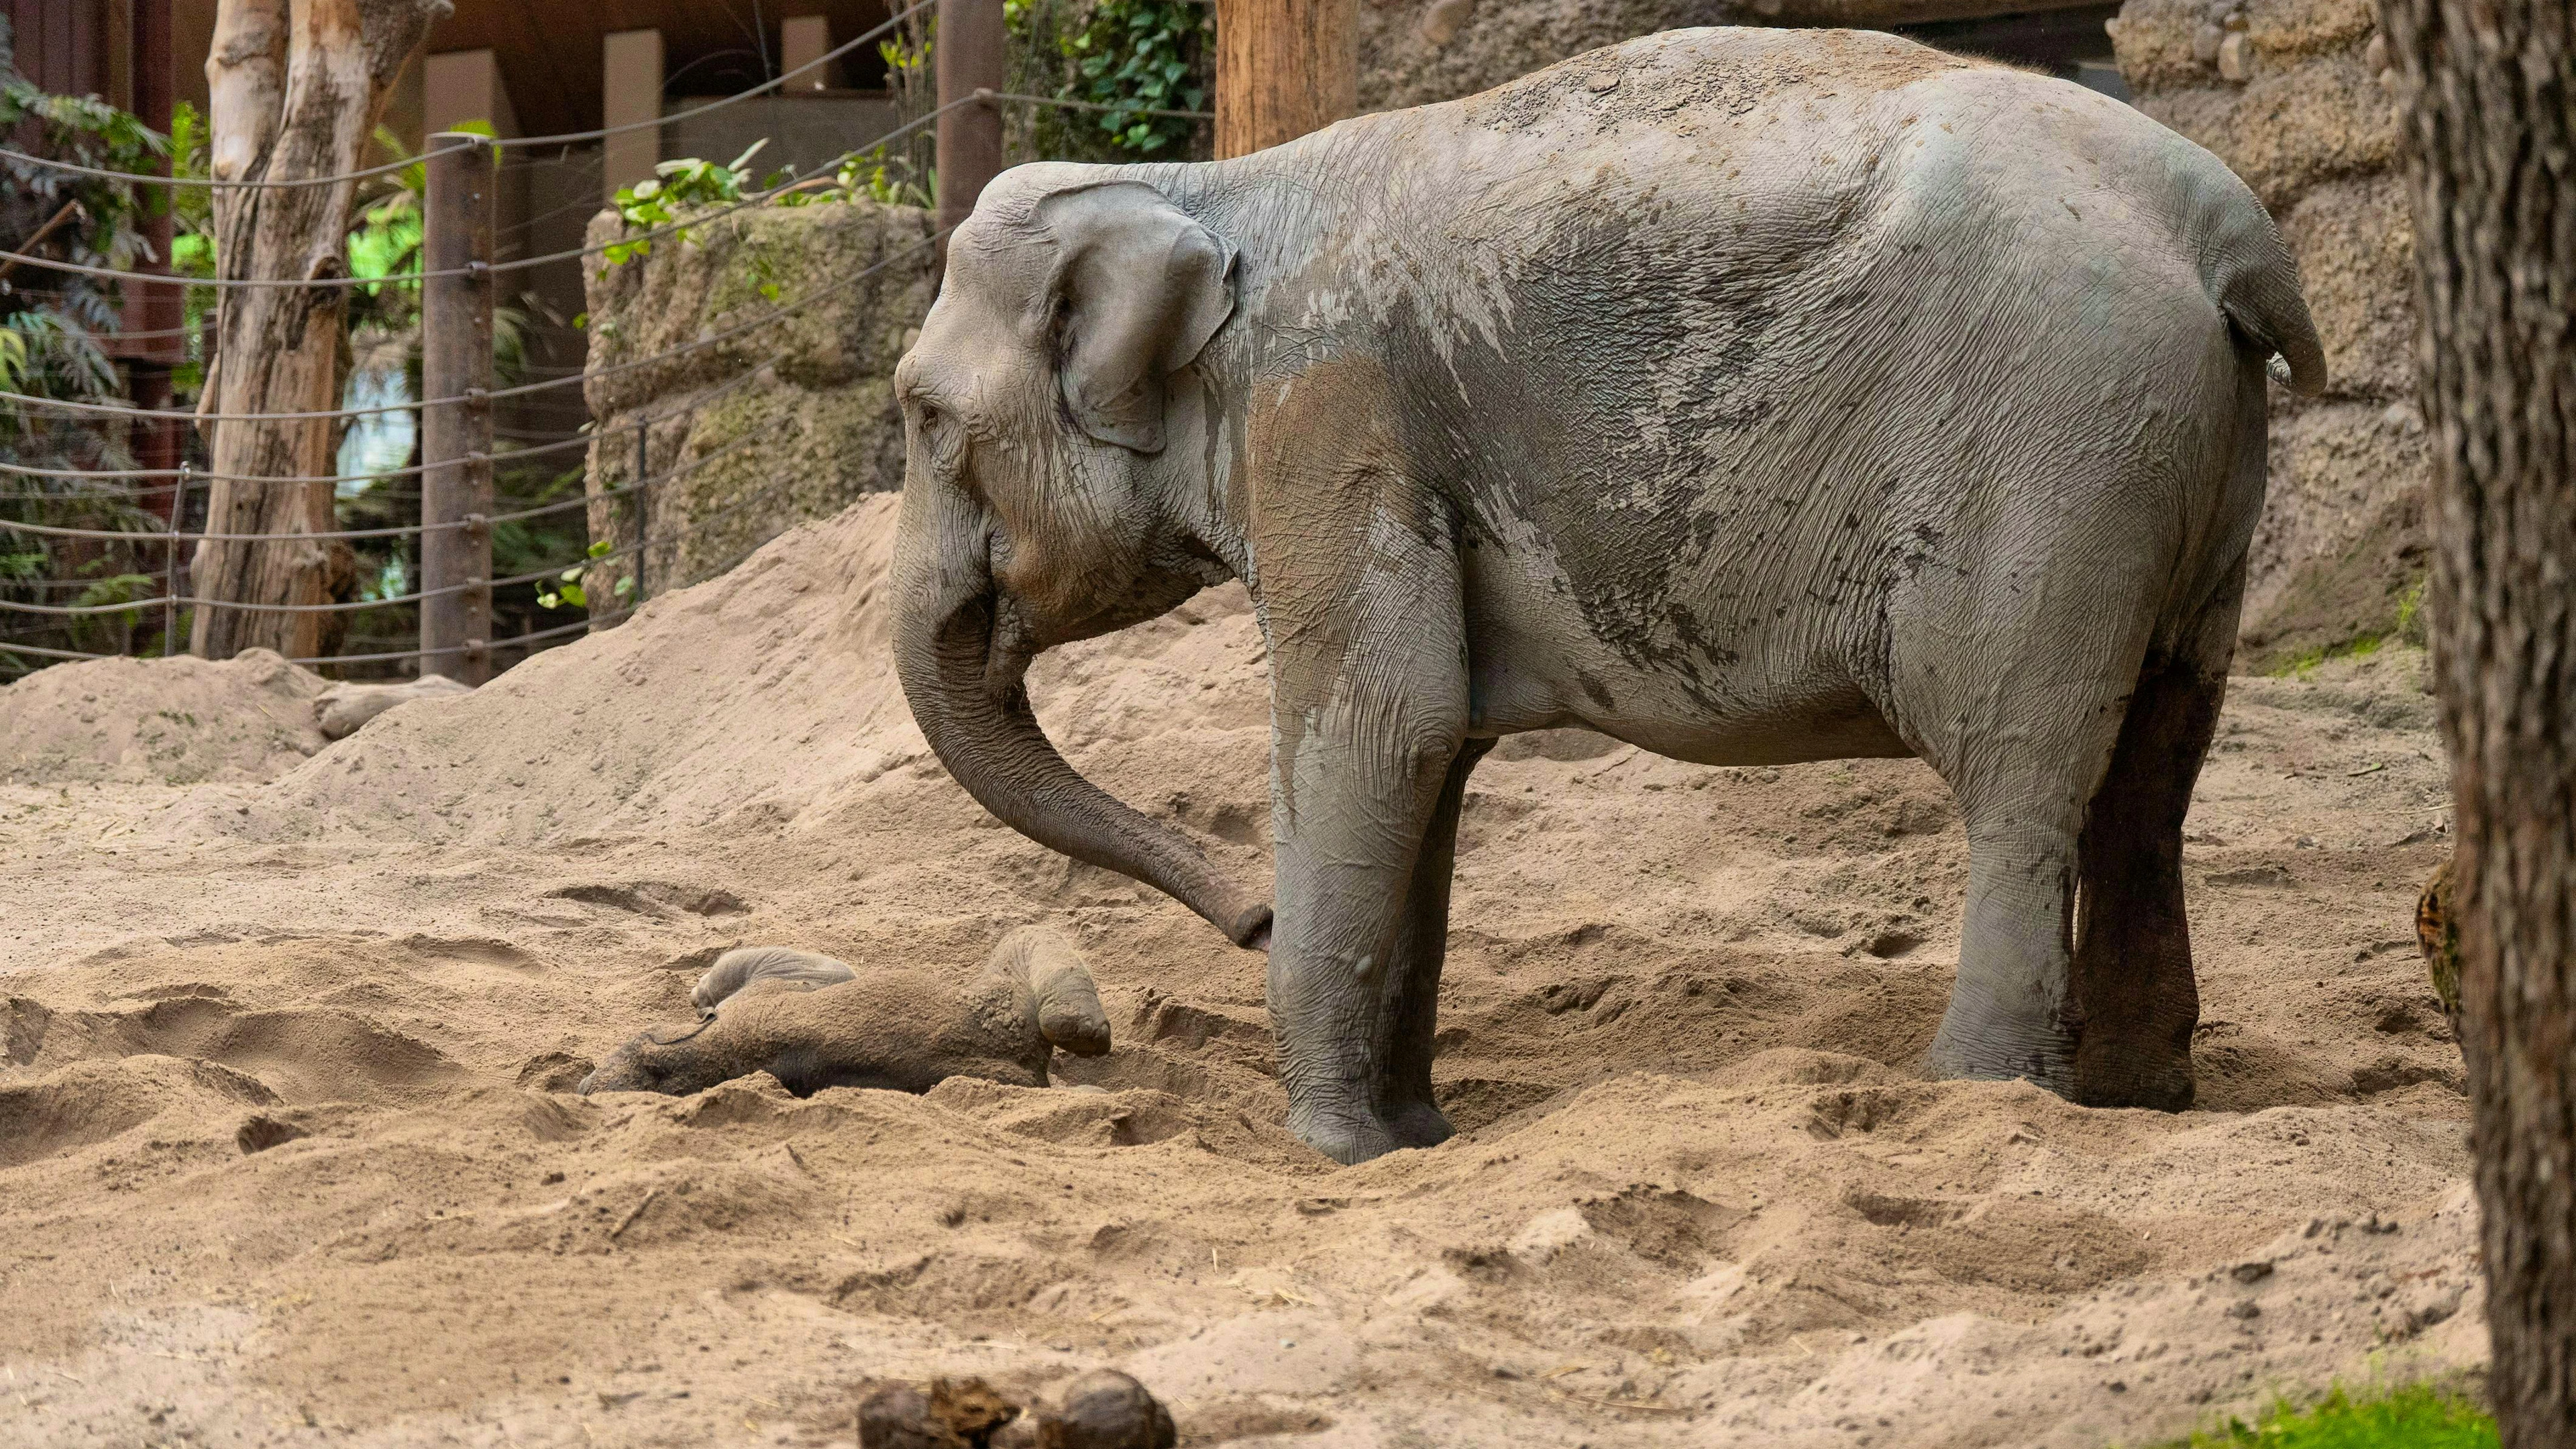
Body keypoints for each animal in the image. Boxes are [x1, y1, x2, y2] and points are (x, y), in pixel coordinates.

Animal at [889, 26, 2326, 1164]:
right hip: (2188, 473)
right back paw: (2142, 1101)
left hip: (2056, 448)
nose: (1247, 913)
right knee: (2156, 766)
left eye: (922, 417)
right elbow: (1432, 763)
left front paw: (1336, 1156)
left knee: (2021, 772)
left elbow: (1382, 728)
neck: (1214, 189)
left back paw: (1981, 1098)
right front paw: (1418, 1140)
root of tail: (2230, 234)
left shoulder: (1332, 410)